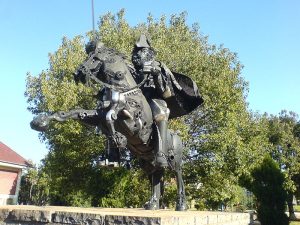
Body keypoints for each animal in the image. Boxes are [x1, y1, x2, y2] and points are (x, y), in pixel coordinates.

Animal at [32, 42, 188, 211]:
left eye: (94, 58)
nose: (77, 73)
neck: (124, 90)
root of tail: (177, 136)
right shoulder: (96, 116)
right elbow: (75, 113)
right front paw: (40, 121)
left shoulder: (133, 119)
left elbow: (112, 114)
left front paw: (118, 139)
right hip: (147, 161)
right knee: (156, 175)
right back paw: (152, 204)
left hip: (174, 160)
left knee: (178, 176)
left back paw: (181, 204)